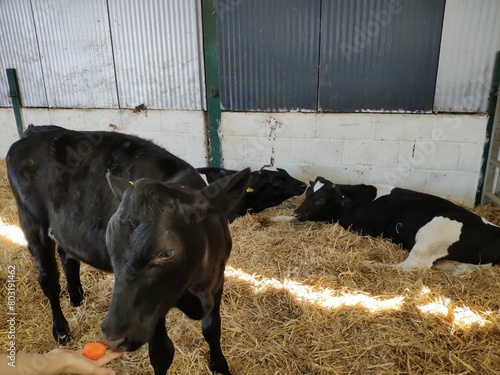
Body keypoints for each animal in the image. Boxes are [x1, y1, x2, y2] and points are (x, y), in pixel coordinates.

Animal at [7, 126, 250, 375]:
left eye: (167, 253)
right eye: (110, 244)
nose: (112, 337)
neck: (196, 288)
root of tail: (35, 131)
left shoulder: (217, 281)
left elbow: (212, 329)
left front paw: (220, 365)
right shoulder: (153, 311)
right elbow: (162, 353)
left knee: (68, 255)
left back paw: (76, 296)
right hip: (31, 222)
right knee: (48, 280)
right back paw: (61, 329)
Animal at [292, 176, 500, 276]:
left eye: (320, 199)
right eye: (307, 194)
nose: (296, 213)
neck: (359, 199)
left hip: (429, 238)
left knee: (410, 266)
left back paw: (368, 263)